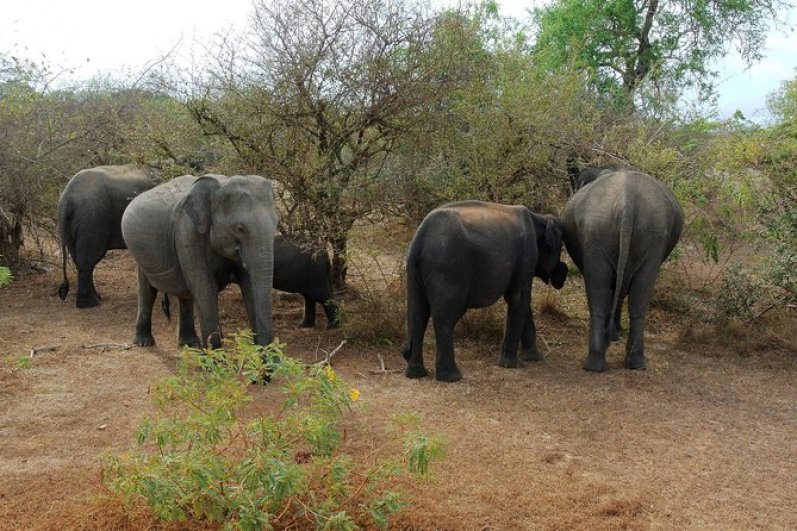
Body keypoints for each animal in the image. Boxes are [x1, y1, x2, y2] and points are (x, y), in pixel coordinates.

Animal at [57, 164, 158, 308]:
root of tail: (66, 198)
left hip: (71, 225)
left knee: (78, 257)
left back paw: (96, 298)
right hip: (92, 219)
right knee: (88, 259)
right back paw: (90, 304)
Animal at [121, 174, 279, 349]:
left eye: (276, 224)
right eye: (240, 228)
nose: (265, 348)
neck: (220, 186)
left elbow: (249, 286)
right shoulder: (188, 234)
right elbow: (205, 289)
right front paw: (216, 355)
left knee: (185, 293)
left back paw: (189, 344)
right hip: (139, 254)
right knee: (148, 290)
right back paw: (144, 342)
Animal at [403, 200, 569, 382]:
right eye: (561, 248)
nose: (563, 274)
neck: (539, 217)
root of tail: (419, 239)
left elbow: (518, 300)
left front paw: (532, 359)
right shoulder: (527, 255)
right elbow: (519, 299)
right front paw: (512, 365)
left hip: (415, 273)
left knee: (418, 316)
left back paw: (416, 374)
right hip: (447, 269)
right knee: (445, 318)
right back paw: (452, 377)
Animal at [560, 169, 684, 372]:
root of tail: (628, 199)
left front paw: (614, 335)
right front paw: (614, 334)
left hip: (605, 232)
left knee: (603, 291)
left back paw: (603, 362)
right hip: (640, 235)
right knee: (634, 295)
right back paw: (624, 361)